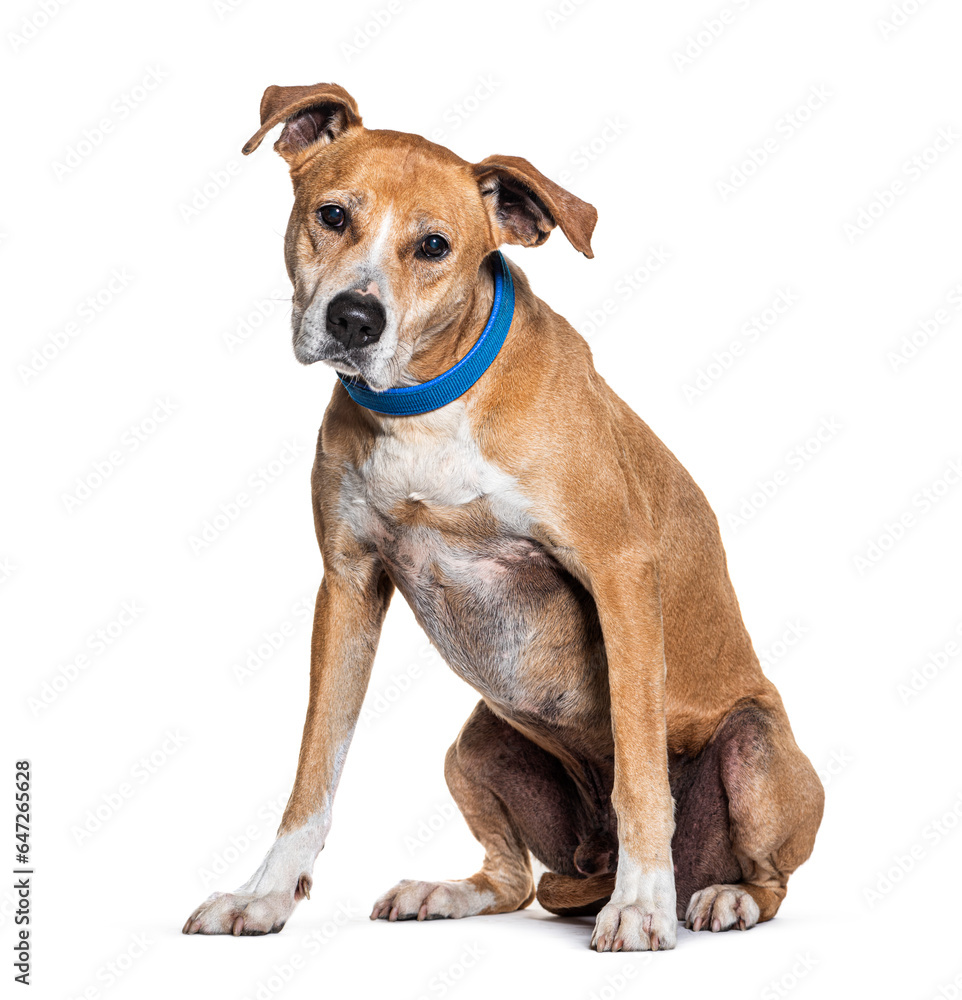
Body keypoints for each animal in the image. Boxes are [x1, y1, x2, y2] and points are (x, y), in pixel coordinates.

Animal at [184, 82, 820, 948]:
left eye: (434, 246)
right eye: (333, 215)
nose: (354, 318)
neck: (426, 405)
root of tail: (588, 864)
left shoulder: (620, 573)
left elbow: (641, 769)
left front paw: (642, 906)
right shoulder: (347, 585)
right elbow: (316, 762)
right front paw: (265, 895)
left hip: (754, 748)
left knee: (766, 875)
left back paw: (718, 897)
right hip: (474, 745)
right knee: (515, 882)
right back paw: (449, 892)